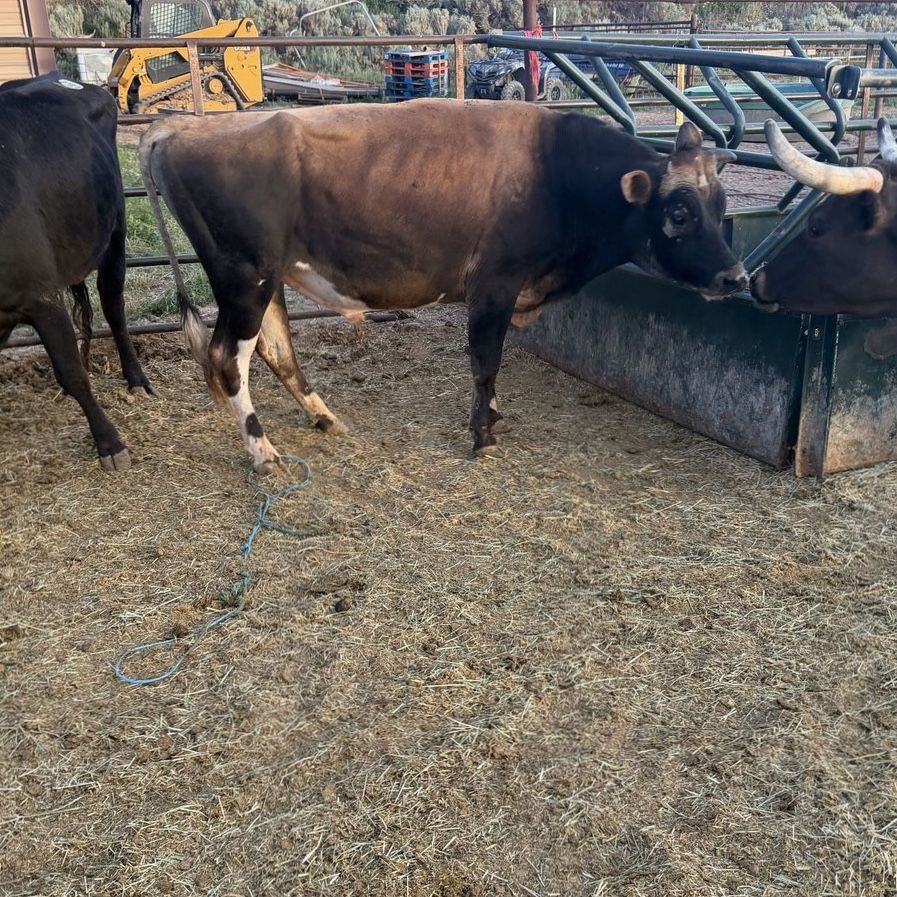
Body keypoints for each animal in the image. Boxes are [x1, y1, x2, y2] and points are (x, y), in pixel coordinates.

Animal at [0, 74, 153, 470]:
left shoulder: (40, 297)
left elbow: (72, 372)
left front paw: (110, 444)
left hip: (115, 234)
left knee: (114, 309)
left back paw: (136, 378)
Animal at [140, 100, 747, 472]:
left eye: (720, 205)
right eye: (678, 213)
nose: (735, 277)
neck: (557, 175)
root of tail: (186, 125)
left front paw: (491, 421)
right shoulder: (495, 285)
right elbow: (485, 362)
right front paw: (483, 432)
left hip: (269, 278)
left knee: (275, 349)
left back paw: (323, 416)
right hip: (245, 276)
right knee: (227, 358)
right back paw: (262, 449)